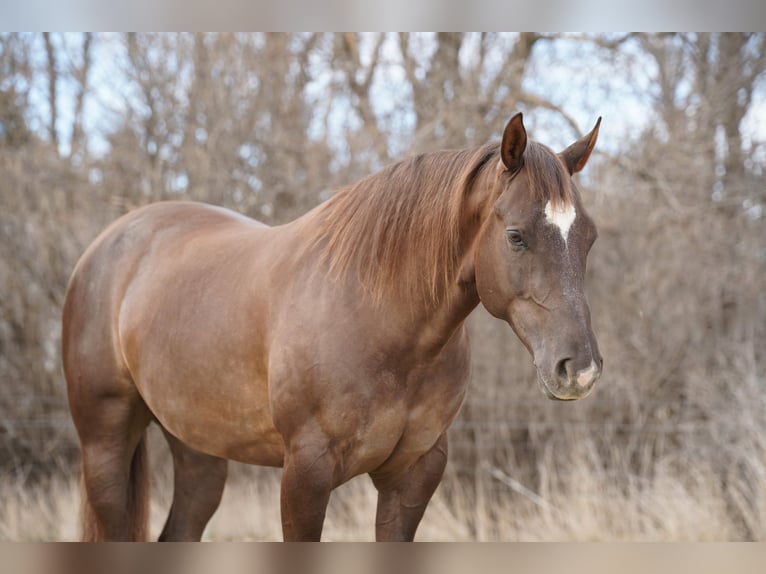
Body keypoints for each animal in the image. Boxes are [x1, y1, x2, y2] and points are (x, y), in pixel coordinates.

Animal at [62, 112, 603, 541]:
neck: (381, 321)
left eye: (589, 236)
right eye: (516, 236)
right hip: (105, 441)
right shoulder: (306, 474)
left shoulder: (412, 476)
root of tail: (107, 244)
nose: (579, 369)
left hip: (197, 450)